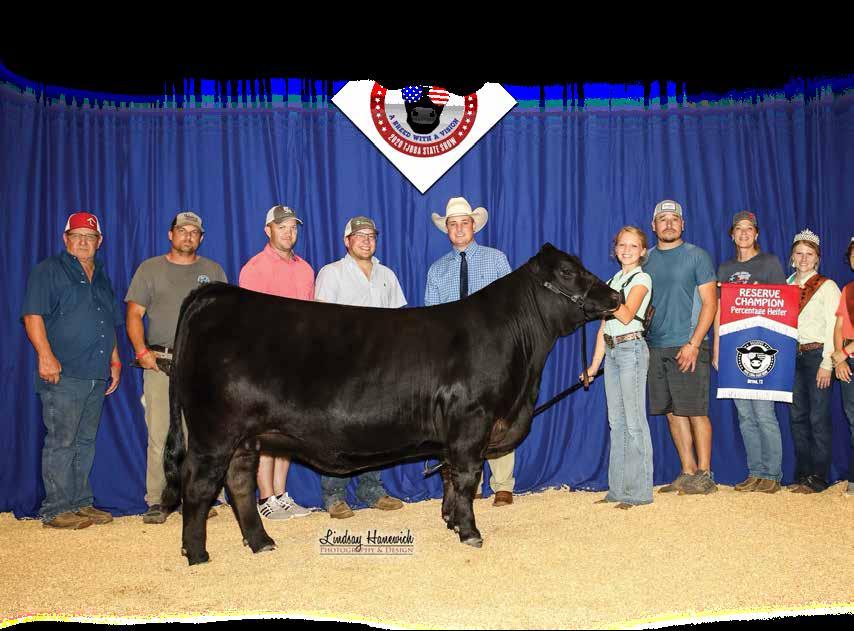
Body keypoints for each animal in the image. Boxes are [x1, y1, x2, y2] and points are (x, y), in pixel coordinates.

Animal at [161, 243, 620, 564]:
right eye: (568, 272)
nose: (615, 298)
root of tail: (216, 294)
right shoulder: (472, 420)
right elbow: (467, 477)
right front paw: (470, 532)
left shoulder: (455, 433)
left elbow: (449, 476)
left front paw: (450, 521)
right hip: (213, 431)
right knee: (198, 485)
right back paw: (197, 554)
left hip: (245, 437)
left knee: (239, 483)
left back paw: (261, 543)